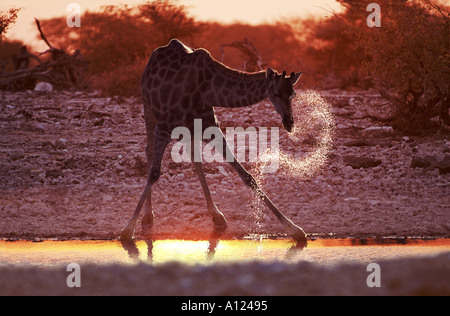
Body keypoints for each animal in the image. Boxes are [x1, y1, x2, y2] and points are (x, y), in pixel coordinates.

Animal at [121, 39, 308, 242]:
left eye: (293, 94)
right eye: (275, 92)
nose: (289, 123)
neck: (206, 90)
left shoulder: (210, 126)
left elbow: (246, 176)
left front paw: (294, 228)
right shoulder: (164, 127)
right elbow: (155, 173)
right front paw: (128, 229)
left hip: (188, 128)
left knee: (194, 159)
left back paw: (216, 215)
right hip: (148, 108)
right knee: (149, 150)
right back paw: (148, 215)